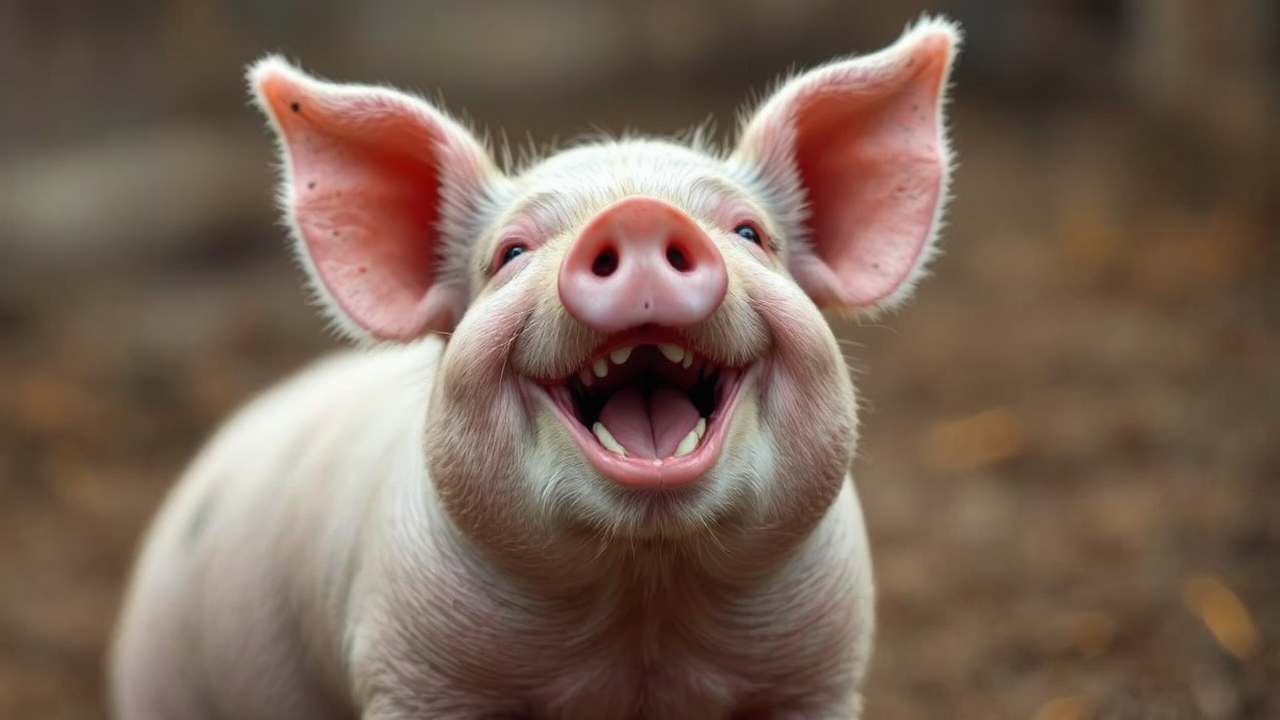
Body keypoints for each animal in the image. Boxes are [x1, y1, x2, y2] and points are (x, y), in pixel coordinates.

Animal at [109, 16, 961, 720]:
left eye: (751, 234)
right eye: (511, 253)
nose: (639, 215)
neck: (645, 598)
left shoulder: (819, 669)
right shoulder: (413, 668)